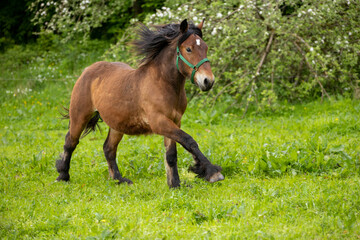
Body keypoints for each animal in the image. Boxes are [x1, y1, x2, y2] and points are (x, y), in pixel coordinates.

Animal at [56, 19, 224, 188]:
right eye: (189, 49)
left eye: (205, 47)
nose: (208, 81)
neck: (162, 84)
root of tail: (88, 70)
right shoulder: (159, 122)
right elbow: (189, 141)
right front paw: (212, 172)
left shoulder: (175, 121)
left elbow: (171, 154)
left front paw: (175, 184)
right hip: (80, 116)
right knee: (70, 142)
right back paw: (63, 176)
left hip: (117, 125)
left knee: (108, 149)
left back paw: (119, 179)